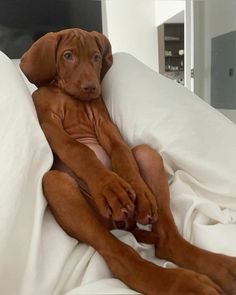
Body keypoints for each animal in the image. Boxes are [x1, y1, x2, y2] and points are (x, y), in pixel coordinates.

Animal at [19, 28, 235, 295]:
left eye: (96, 57)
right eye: (67, 55)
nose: (91, 87)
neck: (68, 95)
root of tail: (122, 225)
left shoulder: (104, 123)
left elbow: (121, 152)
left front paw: (138, 193)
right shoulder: (49, 122)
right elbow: (79, 150)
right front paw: (109, 187)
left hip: (147, 155)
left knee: (166, 239)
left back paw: (220, 268)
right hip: (57, 185)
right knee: (119, 255)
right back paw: (180, 283)